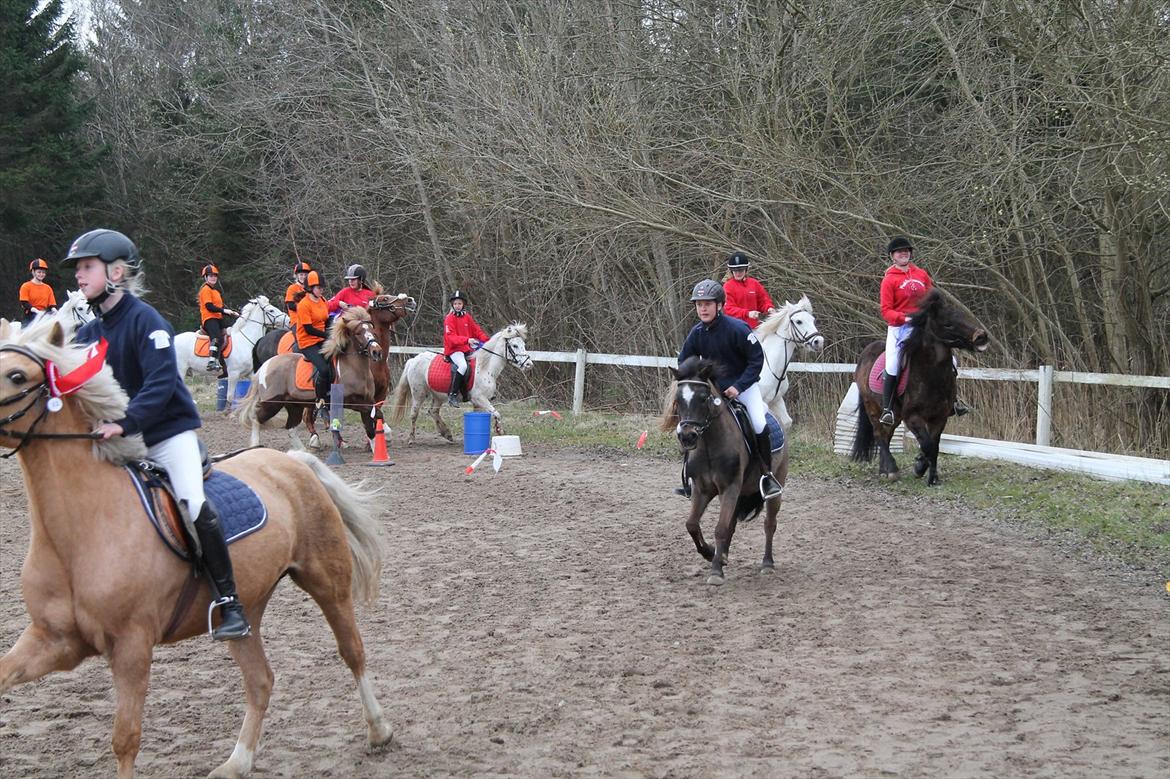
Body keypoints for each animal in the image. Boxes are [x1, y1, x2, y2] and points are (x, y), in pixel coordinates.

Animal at [238, 306, 384, 450]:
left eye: (372, 330)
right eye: (358, 333)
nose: (376, 352)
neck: (354, 368)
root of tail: (266, 365)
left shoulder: (367, 400)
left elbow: (371, 426)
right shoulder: (351, 402)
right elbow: (377, 415)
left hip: (293, 405)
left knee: (290, 427)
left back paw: (302, 451)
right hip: (272, 403)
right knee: (256, 419)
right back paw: (256, 446)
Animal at [389, 322, 534, 444]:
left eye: (523, 345)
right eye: (514, 346)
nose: (529, 365)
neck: (485, 367)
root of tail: (413, 360)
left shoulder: (479, 403)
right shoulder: (479, 399)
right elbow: (497, 413)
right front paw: (500, 431)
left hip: (438, 395)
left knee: (433, 412)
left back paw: (446, 433)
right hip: (419, 394)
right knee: (414, 414)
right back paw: (411, 439)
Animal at [660, 356, 789, 585]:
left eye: (703, 398)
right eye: (678, 399)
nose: (687, 436)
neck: (710, 444)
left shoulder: (729, 488)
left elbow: (720, 528)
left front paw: (716, 571)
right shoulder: (703, 490)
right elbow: (692, 524)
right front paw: (711, 553)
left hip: (774, 488)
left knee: (769, 524)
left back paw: (767, 563)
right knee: (732, 524)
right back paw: (724, 556)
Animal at [850, 289, 990, 485]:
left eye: (961, 315)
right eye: (948, 324)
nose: (981, 337)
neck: (931, 375)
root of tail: (865, 353)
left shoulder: (939, 417)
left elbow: (934, 446)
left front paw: (929, 475)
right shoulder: (913, 417)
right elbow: (928, 445)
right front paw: (920, 469)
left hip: (896, 414)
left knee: (887, 434)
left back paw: (883, 470)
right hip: (873, 407)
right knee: (879, 435)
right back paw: (891, 470)